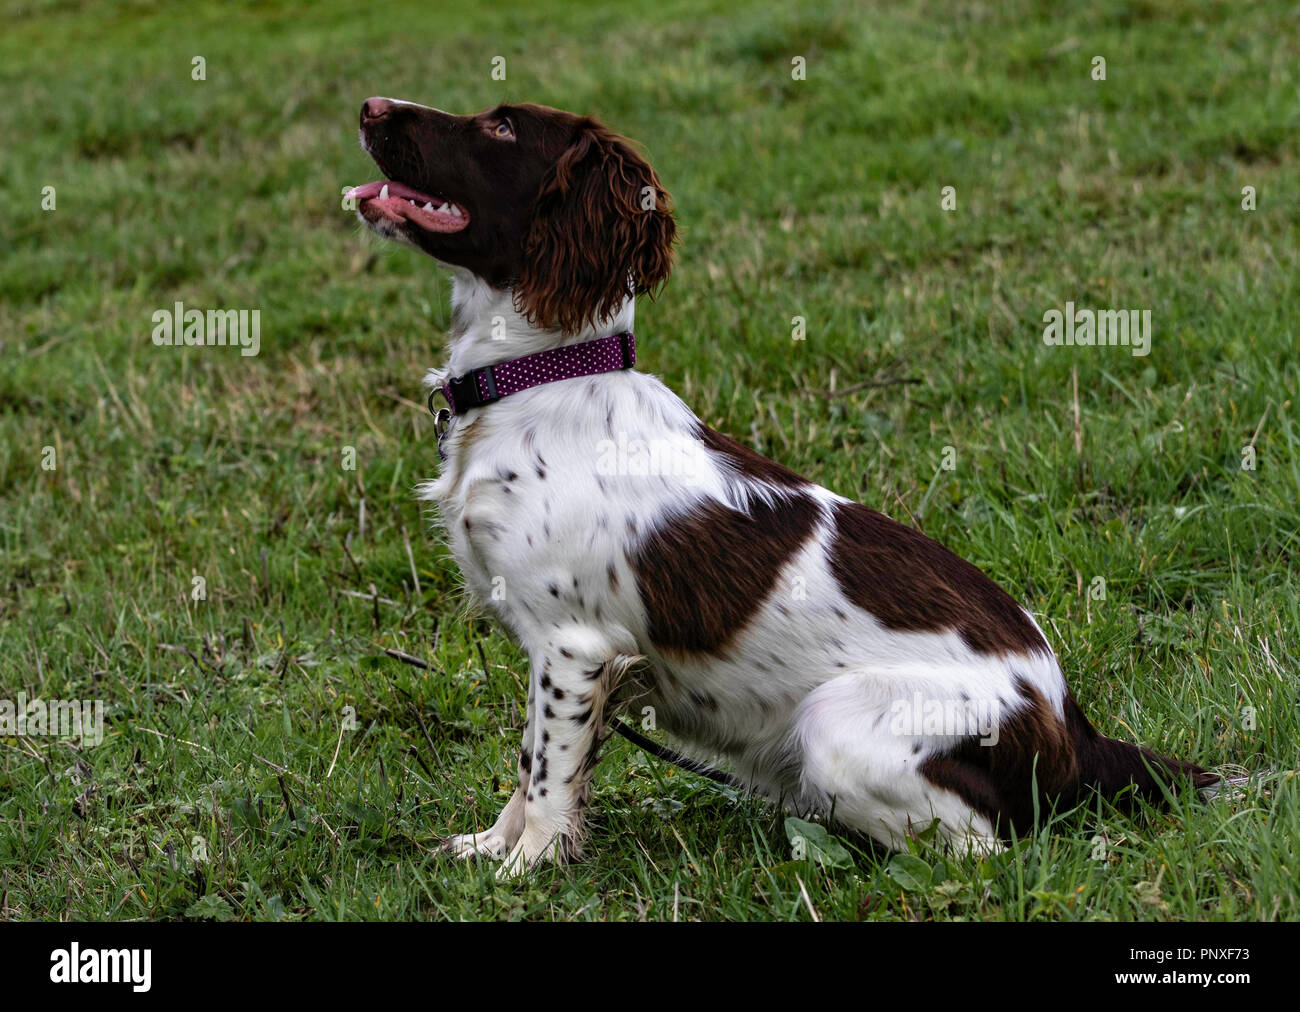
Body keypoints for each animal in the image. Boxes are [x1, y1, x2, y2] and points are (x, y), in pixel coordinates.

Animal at [348, 98, 1216, 868]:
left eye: (500, 127)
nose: (370, 106)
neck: (540, 376)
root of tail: (1071, 723)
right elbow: (529, 762)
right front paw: (490, 848)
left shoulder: (573, 645)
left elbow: (549, 775)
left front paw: (527, 867)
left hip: (835, 725)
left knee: (985, 848)